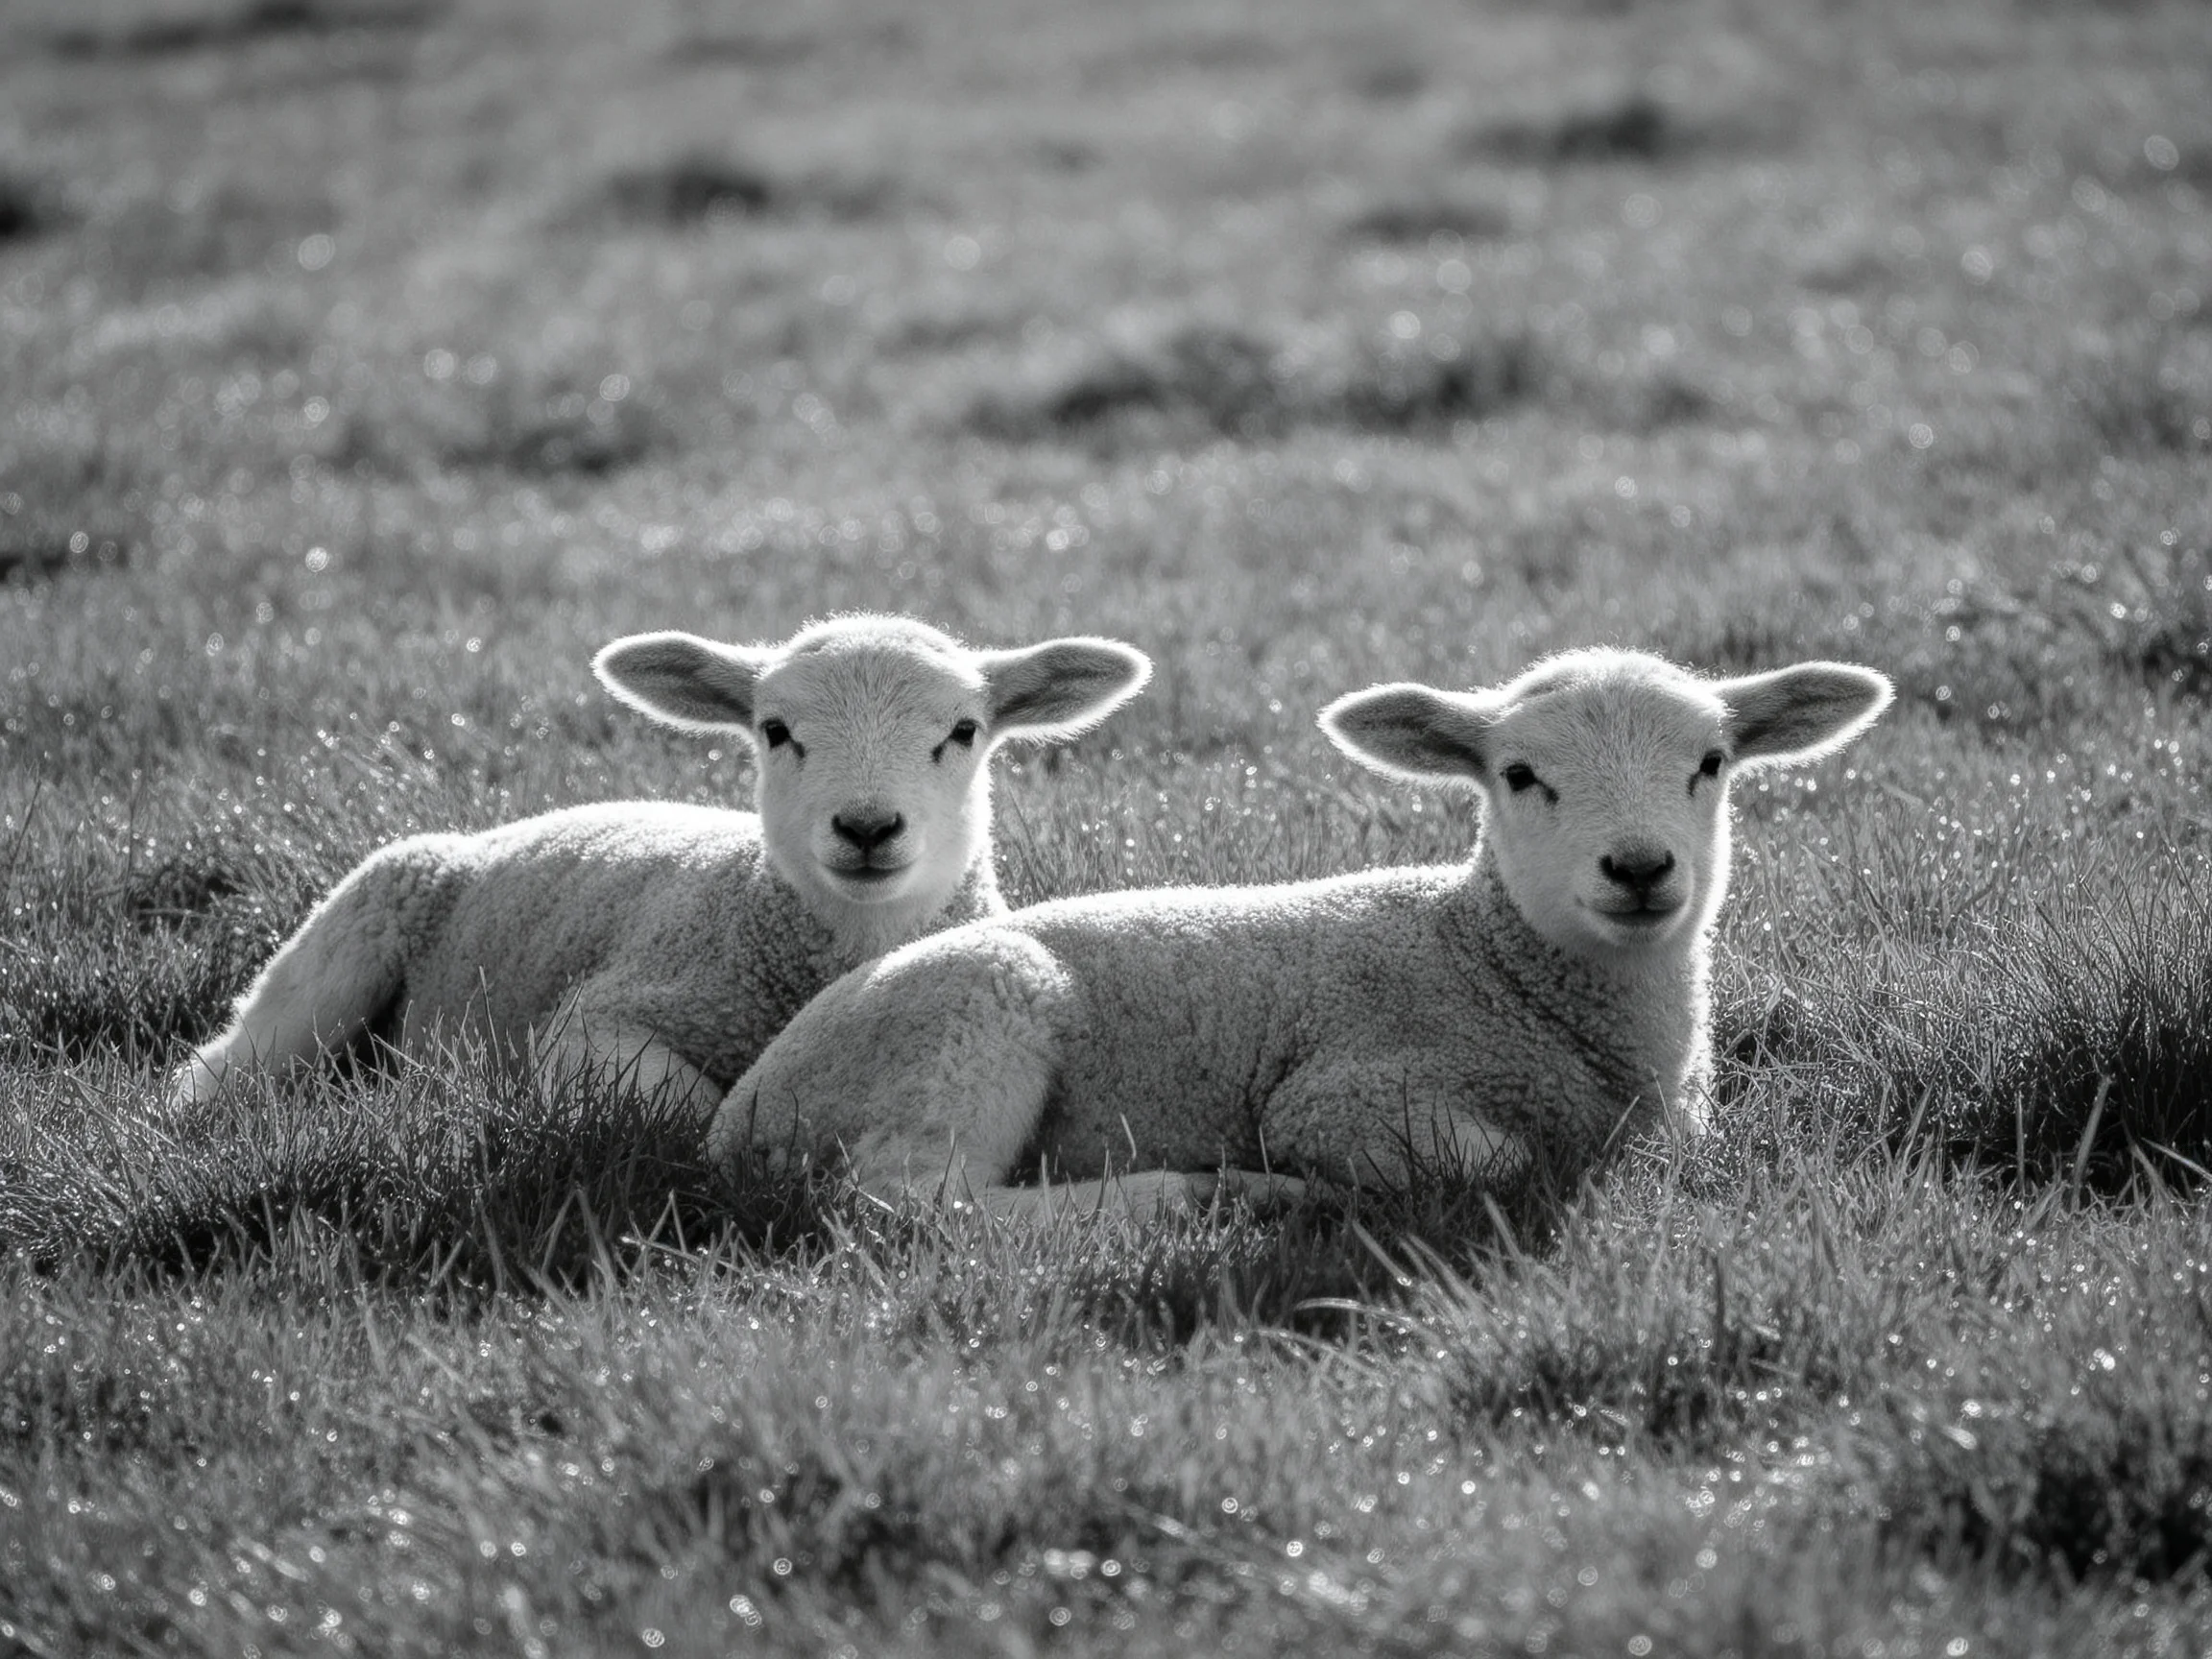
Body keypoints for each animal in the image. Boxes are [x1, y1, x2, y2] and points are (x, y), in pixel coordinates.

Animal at [170, 614, 1152, 1115]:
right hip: (346, 942)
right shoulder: (600, 1019)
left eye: (964, 731)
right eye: (774, 730)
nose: (869, 826)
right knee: (219, 1071)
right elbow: (692, 1109)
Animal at [711, 647, 1892, 1216]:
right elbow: (1502, 1166)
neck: (1488, 959)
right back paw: (1209, 1197)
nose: (1641, 869)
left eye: (1713, 764)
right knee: (909, 1204)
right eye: (1520, 775)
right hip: (969, 1021)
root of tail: (741, 1112)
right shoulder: (1347, 1091)